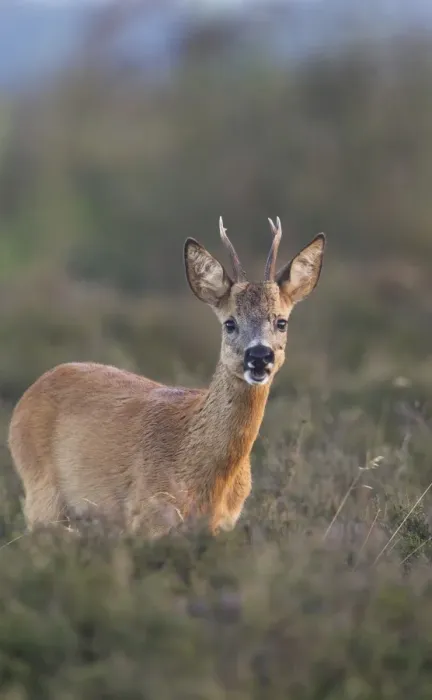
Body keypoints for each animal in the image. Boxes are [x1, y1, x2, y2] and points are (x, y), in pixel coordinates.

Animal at [8, 218, 325, 538]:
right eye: (230, 323)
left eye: (281, 322)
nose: (259, 355)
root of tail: (27, 395)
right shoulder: (148, 516)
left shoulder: (224, 525)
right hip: (42, 498)